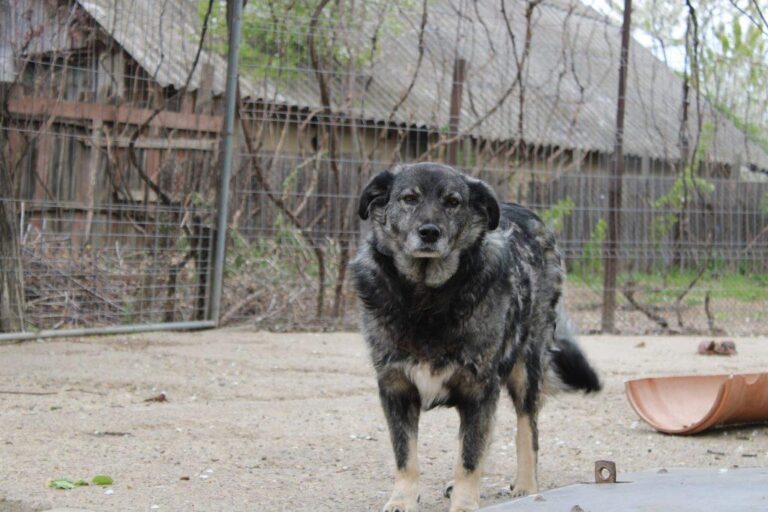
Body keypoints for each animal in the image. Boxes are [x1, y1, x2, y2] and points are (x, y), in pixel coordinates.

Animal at [352, 162, 600, 510]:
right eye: (409, 198)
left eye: (453, 202)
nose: (430, 232)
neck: (425, 300)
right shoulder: (396, 388)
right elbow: (406, 455)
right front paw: (402, 499)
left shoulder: (479, 388)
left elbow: (469, 457)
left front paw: (465, 503)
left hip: (527, 368)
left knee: (527, 429)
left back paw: (526, 486)